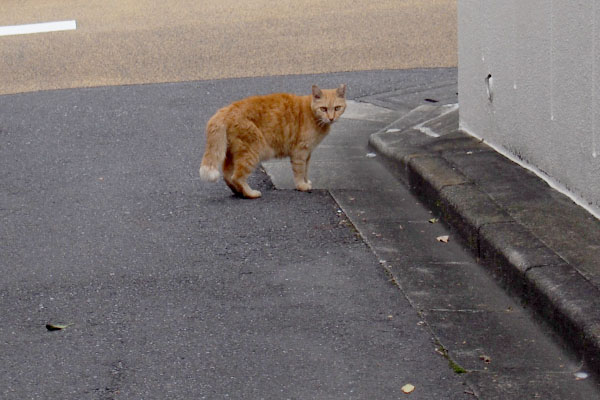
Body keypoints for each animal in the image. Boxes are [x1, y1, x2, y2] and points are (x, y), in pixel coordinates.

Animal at [199, 85, 344, 198]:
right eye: (323, 109)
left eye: (337, 108)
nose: (331, 118)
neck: (312, 114)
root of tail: (226, 110)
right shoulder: (300, 152)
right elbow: (300, 171)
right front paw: (301, 185)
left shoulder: (308, 153)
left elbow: (306, 170)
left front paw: (306, 182)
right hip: (252, 152)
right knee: (237, 177)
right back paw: (250, 194)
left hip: (232, 153)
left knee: (227, 175)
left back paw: (238, 192)